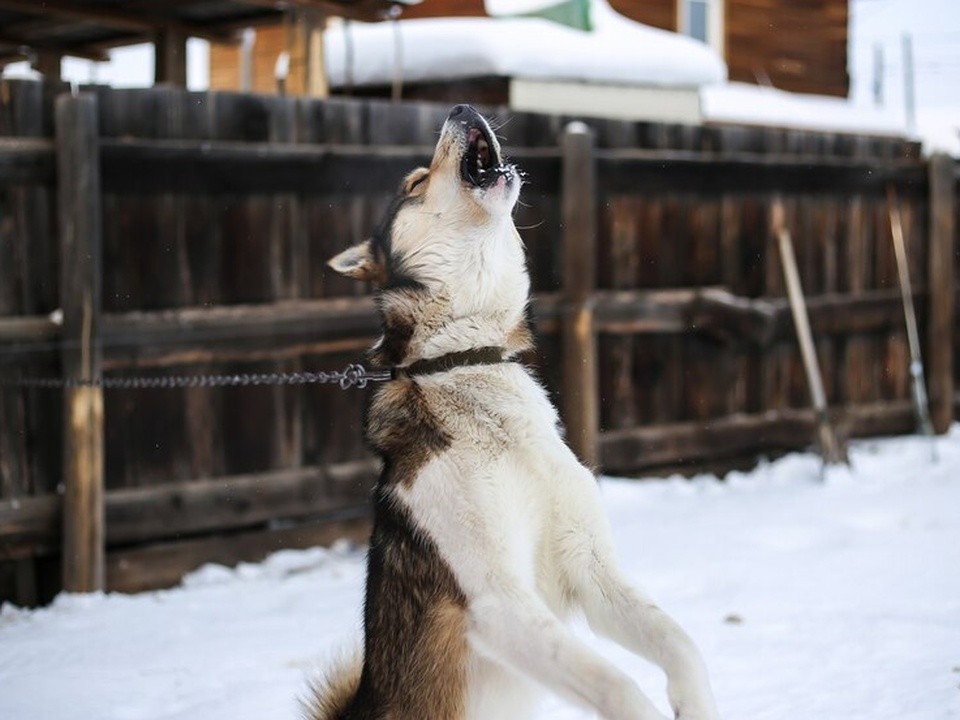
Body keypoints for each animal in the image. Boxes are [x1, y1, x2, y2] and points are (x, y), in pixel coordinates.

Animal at [308, 102, 720, 720]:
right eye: (415, 183)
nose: (461, 107)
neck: (466, 357)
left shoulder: (592, 572)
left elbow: (681, 644)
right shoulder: (500, 605)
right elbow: (616, 685)